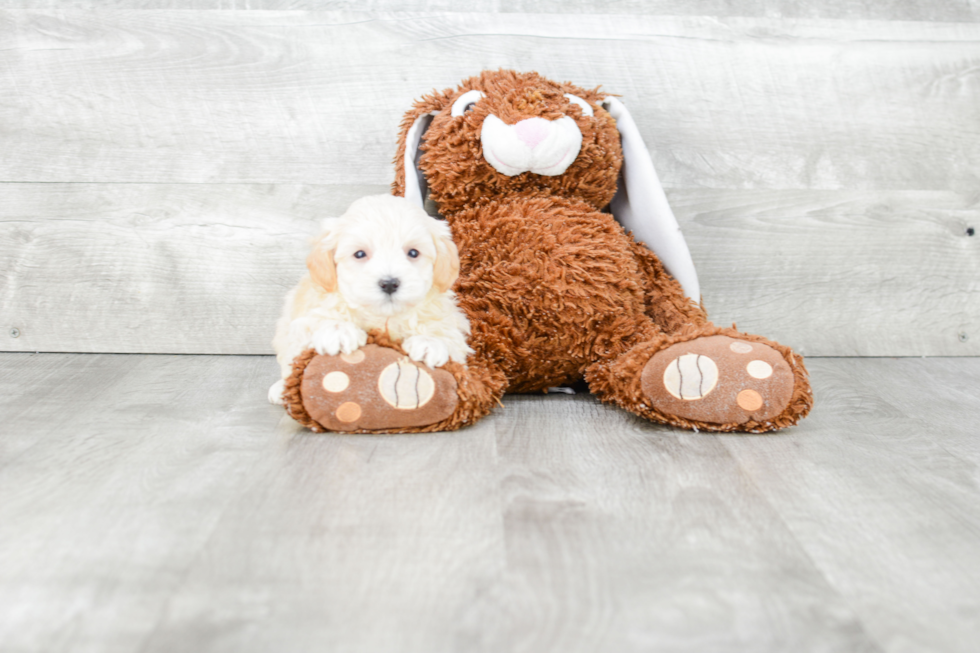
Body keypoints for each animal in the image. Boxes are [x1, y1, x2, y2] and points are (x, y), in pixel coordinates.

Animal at [266, 192, 468, 402]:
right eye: (360, 254)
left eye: (413, 253)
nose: (389, 283)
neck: (384, 318)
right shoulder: (305, 315)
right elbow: (316, 322)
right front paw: (338, 330)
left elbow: (448, 336)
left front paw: (429, 342)